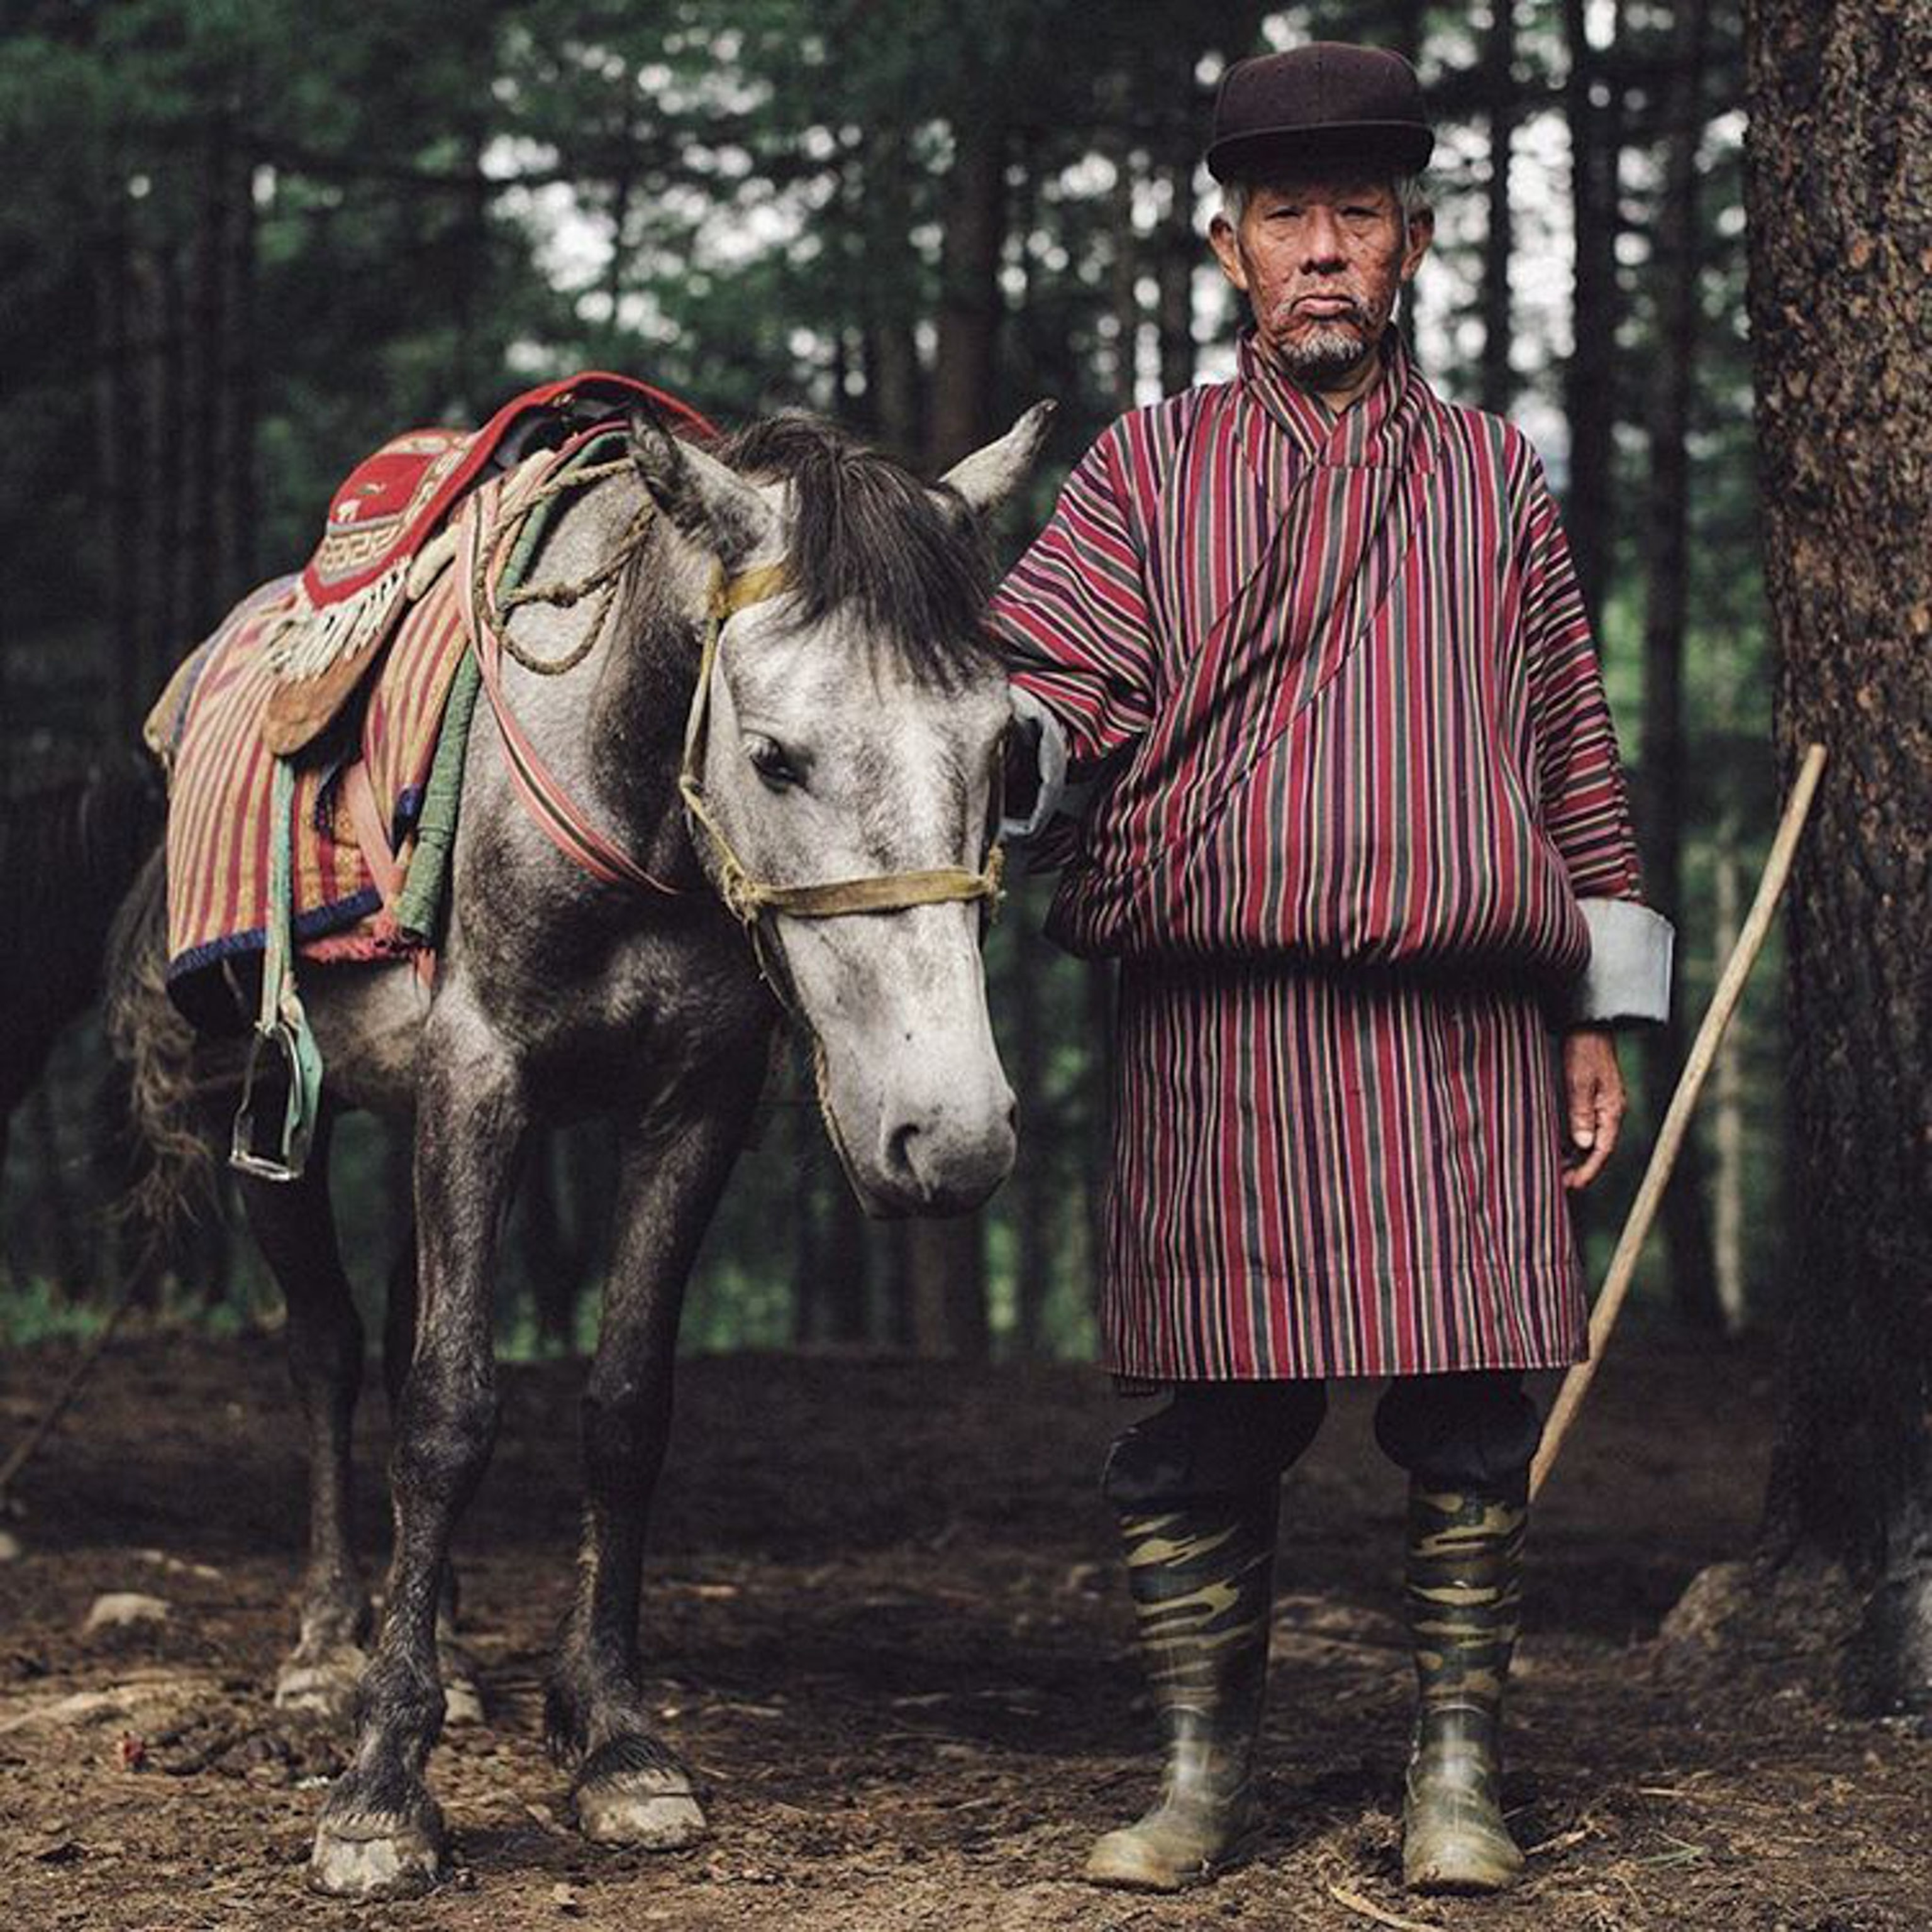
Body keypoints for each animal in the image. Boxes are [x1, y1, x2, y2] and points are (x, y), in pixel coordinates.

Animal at [107, 398, 1054, 1899]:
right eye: (775, 755)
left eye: (1004, 751)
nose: (950, 1137)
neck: (627, 793)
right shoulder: (479, 1081)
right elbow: (445, 1414)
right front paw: (380, 1785)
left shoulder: (692, 1107)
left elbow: (622, 1410)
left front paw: (612, 1739)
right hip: (267, 1101)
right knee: (327, 1354)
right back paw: (326, 1652)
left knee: (391, 1330)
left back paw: (431, 1644)